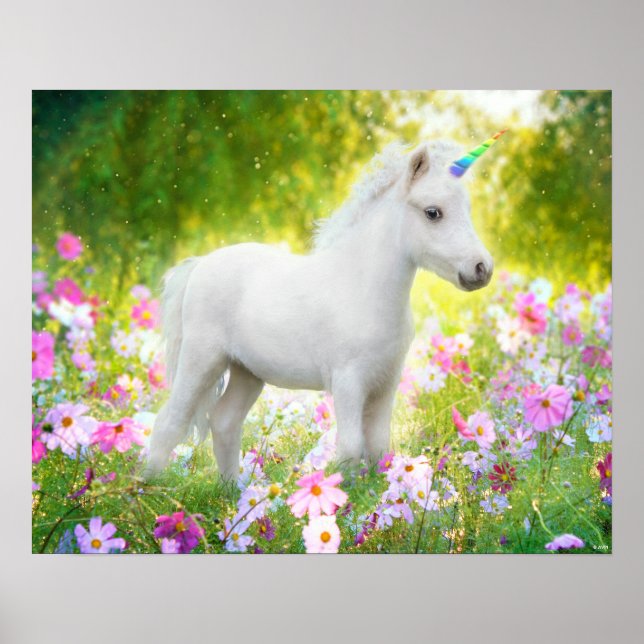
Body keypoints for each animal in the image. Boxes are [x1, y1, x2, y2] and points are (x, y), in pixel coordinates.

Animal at [144, 133, 504, 480]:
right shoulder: (348, 382)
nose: (482, 268)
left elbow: (378, 448)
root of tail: (198, 265)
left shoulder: (385, 383)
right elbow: (350, 448)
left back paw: (234, 494)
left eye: (466, 208)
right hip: (202, 360)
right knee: (169, 424)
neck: (363, 290)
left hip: (247, 371)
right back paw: (147, 489)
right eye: (433, 212)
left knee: (224, 422)